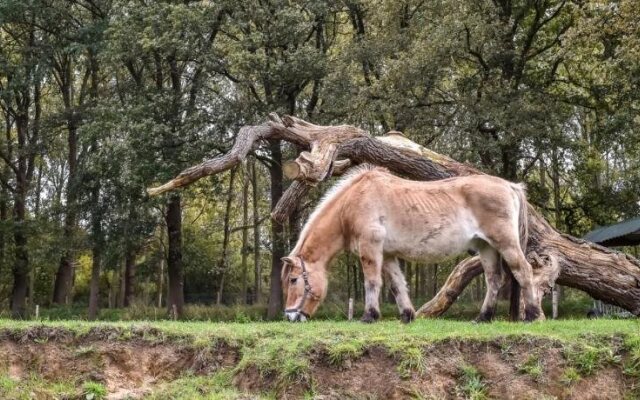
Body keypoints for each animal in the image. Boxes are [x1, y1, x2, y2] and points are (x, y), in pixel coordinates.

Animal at [282, 165, 536, 322]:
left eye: (294, 280)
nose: (290, 316)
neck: (352, 203)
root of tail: (510, 186)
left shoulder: (370, 249)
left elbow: (372, 282)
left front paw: (369, 316)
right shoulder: (388, 255)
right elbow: (397, 285)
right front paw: (407, 315)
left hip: (505, 243)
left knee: (524, 271)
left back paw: (532, 315)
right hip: (486, 247)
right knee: (494, 279)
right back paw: (483, 318)